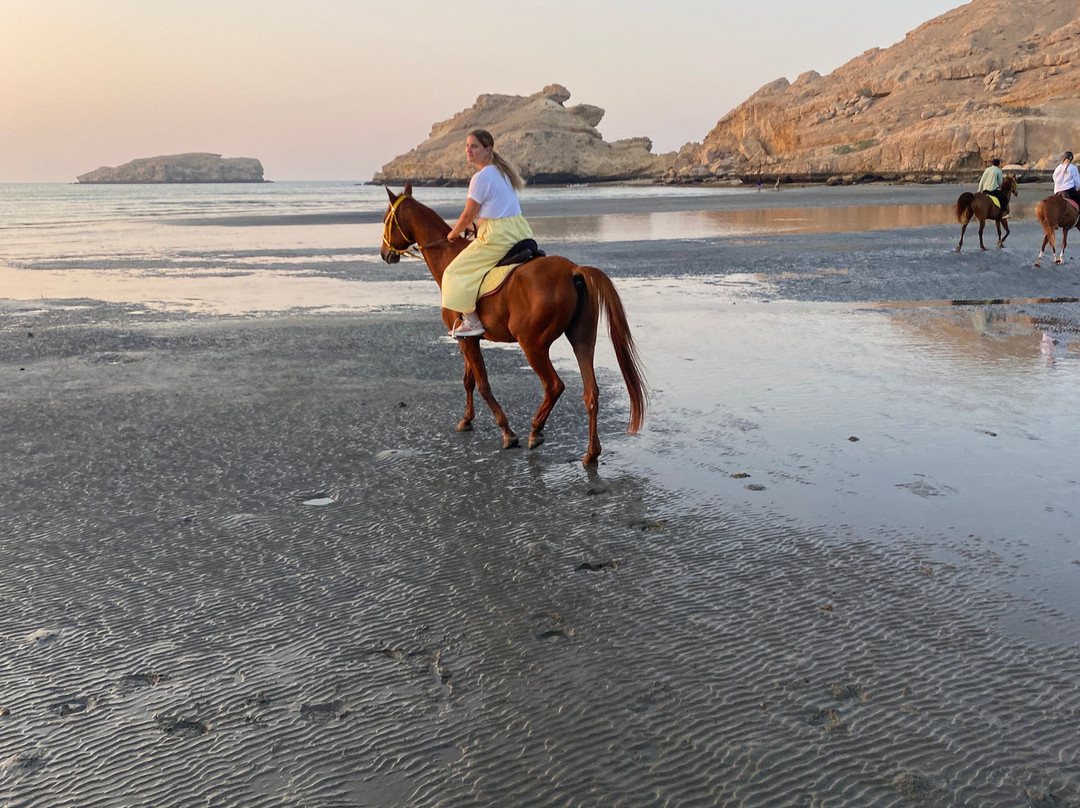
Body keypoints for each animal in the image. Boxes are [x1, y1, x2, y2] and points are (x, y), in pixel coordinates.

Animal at [380, 183, 647, 467]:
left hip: (532, 344)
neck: (449, 257)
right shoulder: (467, 339)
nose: (384, 253)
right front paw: (466, 420)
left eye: (386, 219)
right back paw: (591, 452)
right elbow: (469, 381)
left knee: (554, 385)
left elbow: (483, 385)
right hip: (582, 340)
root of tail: (573, 270)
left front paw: (507, 432)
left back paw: (536, 430)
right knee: (591, 392)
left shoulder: (469, 341)